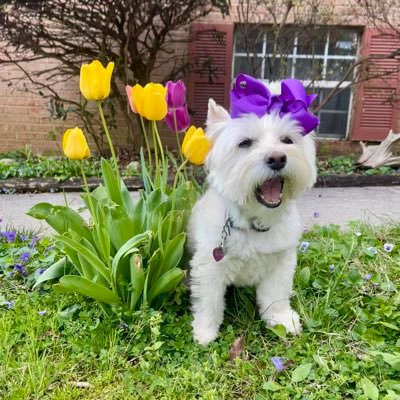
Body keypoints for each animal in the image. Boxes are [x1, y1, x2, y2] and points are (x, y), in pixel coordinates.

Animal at [187, 96, 316, 344]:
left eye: (287, 140)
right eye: (245, 143)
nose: (277, 158)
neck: (254, 223)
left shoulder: (281, 262)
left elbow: (276, 295)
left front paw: (281, 320)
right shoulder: (209, 268)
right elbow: (209, 302)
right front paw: (205, 331)